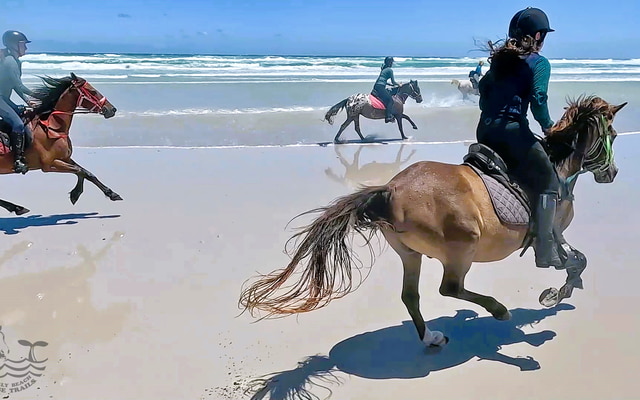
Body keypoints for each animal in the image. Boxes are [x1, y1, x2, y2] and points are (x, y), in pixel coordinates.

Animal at [0, 73, 120, 215]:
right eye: (92, 91)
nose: (112, 109)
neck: (53, 128)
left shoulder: (65, 158)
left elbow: (86, 173)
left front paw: (112, 194)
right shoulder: (50, 164)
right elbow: (80, 171)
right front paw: (76, 193)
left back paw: (17, 208)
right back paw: (16, 207)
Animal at [240, 96, 626, 347]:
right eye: (613, 135)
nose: (612, 174)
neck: (559, 165)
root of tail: (392, 188)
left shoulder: (555, 233)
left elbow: (577, 260)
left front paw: (564, 288)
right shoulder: (554, 230)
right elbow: (575, 259)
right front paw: (558, 292)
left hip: (409, 253)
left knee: (411, 296)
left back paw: (431, 337)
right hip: (462, 247)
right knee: (449, 288)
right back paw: (498, 311)